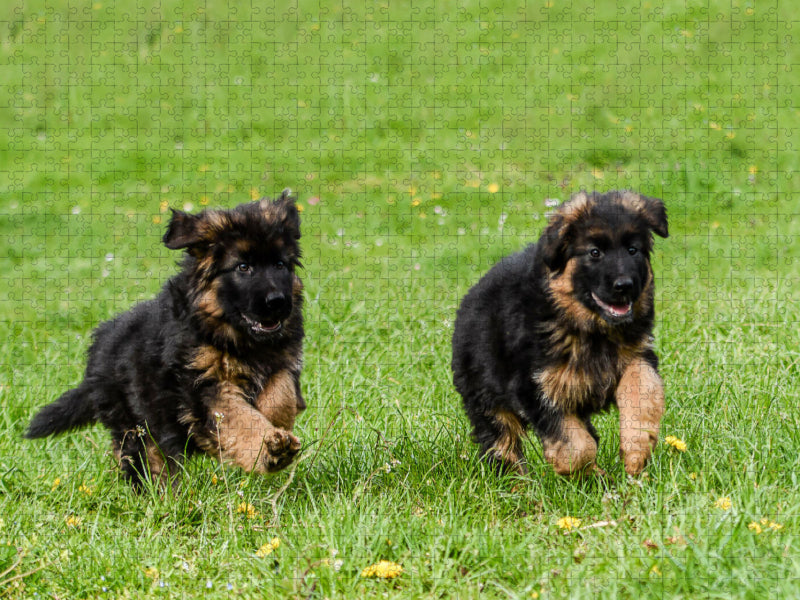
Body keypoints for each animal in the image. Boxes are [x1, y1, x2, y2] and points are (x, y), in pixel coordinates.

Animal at [25, 191, 306, 488]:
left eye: (280, 264)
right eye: (243, 267)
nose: (277, 302)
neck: (238, 338)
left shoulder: (282, 362)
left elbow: (280, 395)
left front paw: (275, 431)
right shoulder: (203, 386)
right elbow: (238, 418)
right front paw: (270, 449)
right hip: (134, 424)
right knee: (145, 459)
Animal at [450, 192, 668, 478]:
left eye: (633, 250)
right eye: (594, 252)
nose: (624, 286)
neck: (593, 330)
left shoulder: (637, 356)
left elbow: (642, 393)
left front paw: (636, 451)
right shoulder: (534, 386)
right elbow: (576, 446)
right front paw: (587, 474)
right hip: (486, 398)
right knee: (502, 443)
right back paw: (517, 483)